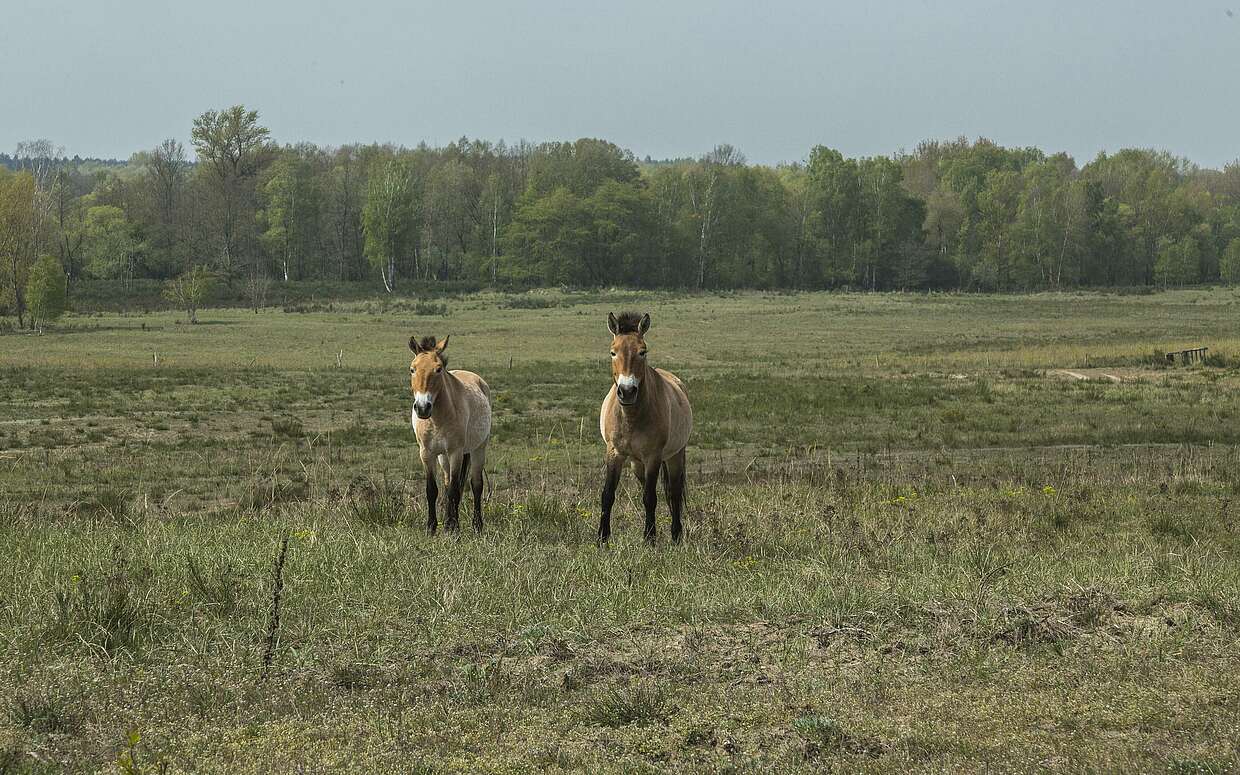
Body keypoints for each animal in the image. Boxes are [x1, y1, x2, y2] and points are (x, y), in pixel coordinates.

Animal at [404, 334, 486, 535]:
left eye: (438, 369)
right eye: (412, 369)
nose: (422, 407)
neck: (437, 419)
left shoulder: (456, 452)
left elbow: (455, 491)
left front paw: (453, 528)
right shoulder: (427, 453)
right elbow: (432, 490)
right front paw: (432, 527)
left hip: (478, 448)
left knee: (476, 485)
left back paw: (476, 525)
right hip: (443, 457)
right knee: (449, 483)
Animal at [597, 311, 694, 540]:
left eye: (642, 351)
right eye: (612, 352)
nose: (627, 391)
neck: (632, 417)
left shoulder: (653, 457)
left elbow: (651, 498)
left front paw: (649, 538)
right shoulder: (614, 453)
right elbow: (608, 495)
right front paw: (602, 538)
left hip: (674, 456)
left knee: (673, 493)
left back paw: (676, 535)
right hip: (636, 463)